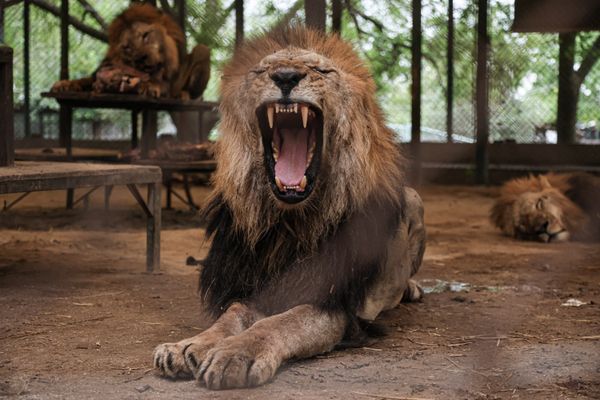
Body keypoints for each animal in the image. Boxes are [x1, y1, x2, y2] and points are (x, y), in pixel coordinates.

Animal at [51, 3, 211, 99]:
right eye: (127, 47)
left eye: (145, 36)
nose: (142, 58)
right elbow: (85, 80)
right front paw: (64, 84)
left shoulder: (170, 80)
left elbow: (162, 84)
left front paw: (150, 86)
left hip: (202, 50)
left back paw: (183, 94)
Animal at [152, 24, 428, 388]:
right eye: (262, 70)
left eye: (321, 70)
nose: (285, 76)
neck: (289, 223)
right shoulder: (256, 287)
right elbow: (233, 314)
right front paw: (188, 346)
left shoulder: (336, 305)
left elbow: (280, 322)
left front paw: (235, 354)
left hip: (413, 199)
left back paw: (411, 287)